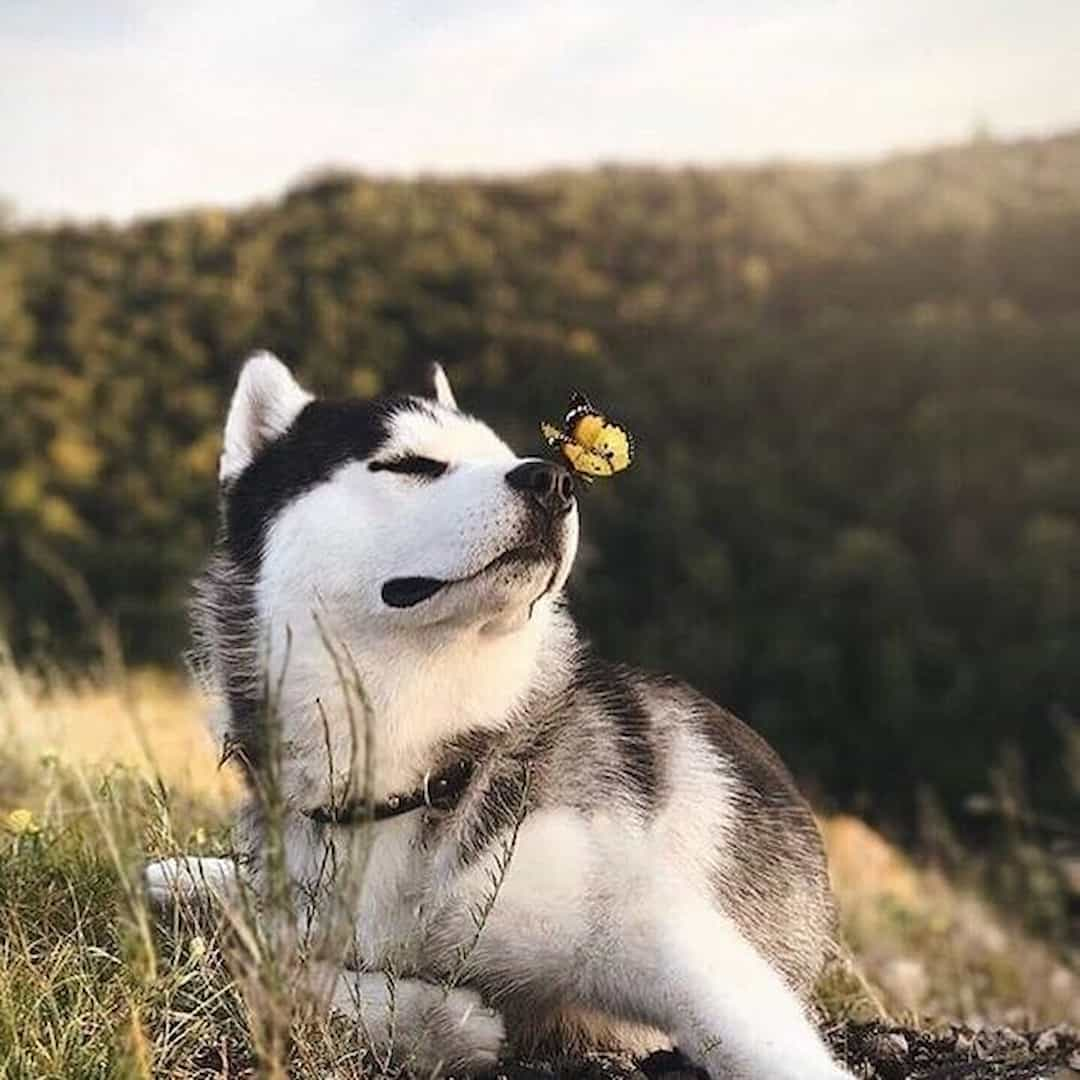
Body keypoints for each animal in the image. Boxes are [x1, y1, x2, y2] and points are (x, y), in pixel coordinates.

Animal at [145, 354, 851, 1080]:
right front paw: (442, 1022)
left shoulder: (666, 937)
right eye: (409, 464)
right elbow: (272, 972)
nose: (553, 479)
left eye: (508, 456)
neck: (422, 777)